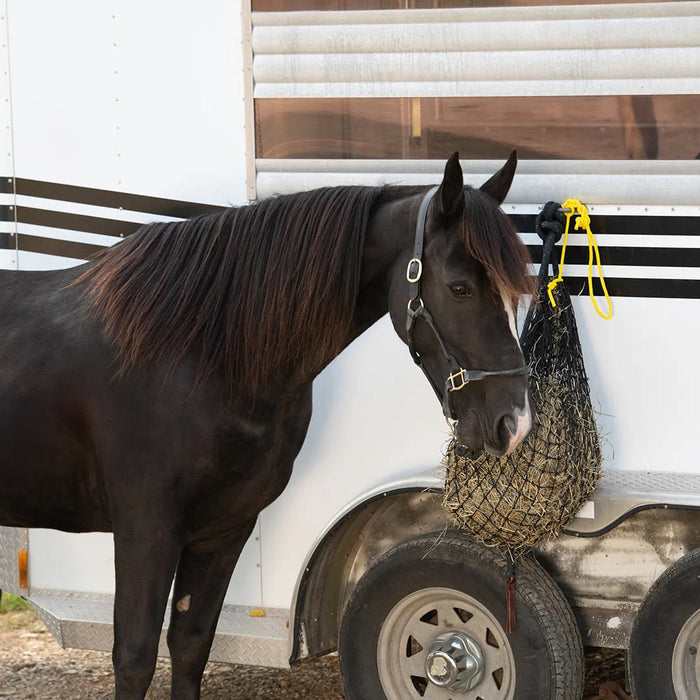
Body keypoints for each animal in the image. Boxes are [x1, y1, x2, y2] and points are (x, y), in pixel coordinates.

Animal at [0, 152, 533, 699]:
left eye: (515, 290)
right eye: (459, 288)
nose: (513, 422)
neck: (198, 353)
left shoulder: (222, 530)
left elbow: (190, 645)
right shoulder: (145, 531)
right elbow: (134, 658)